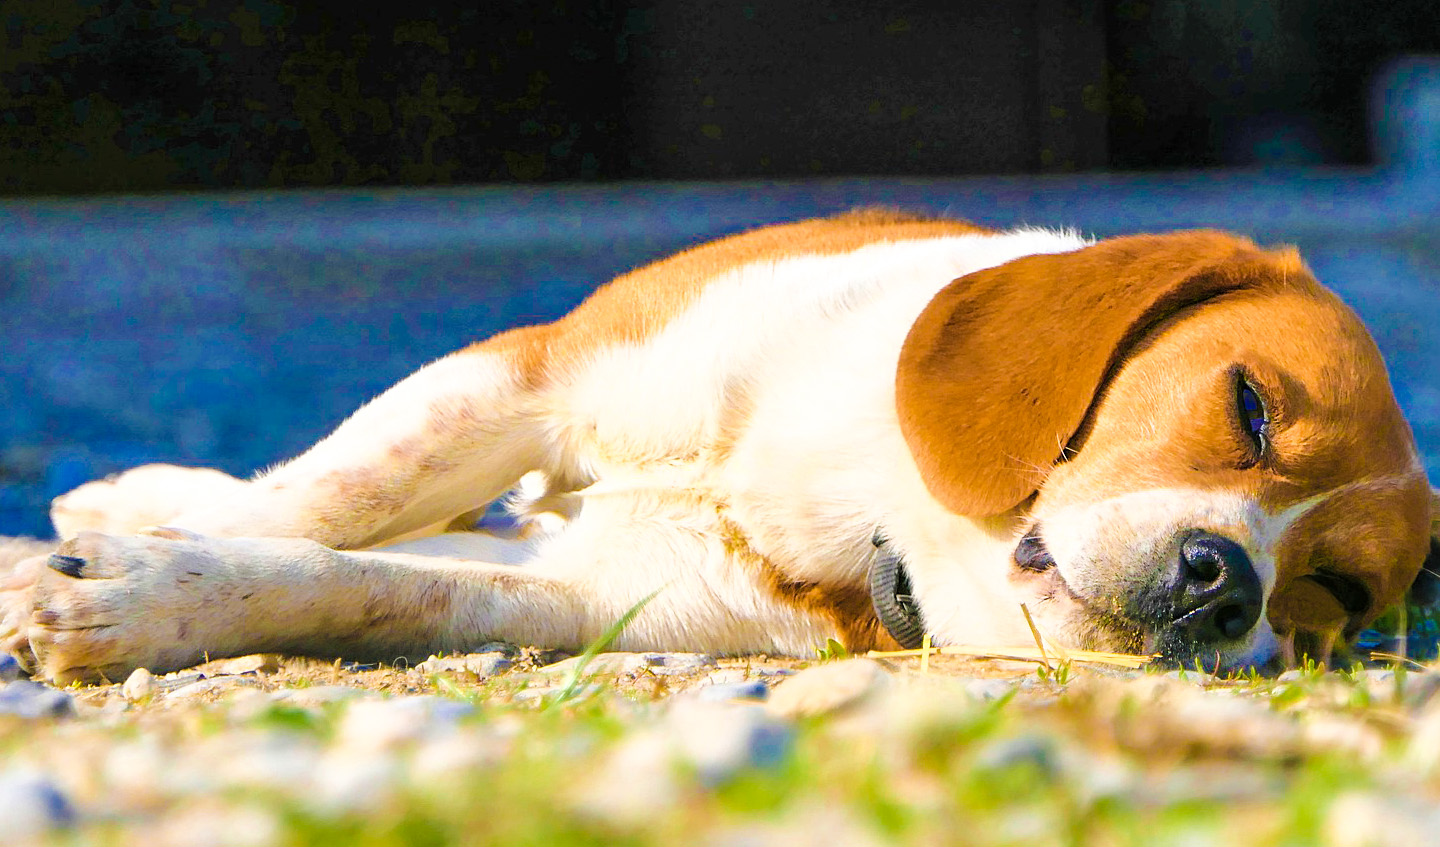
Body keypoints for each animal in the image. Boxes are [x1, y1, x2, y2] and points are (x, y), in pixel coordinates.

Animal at [2, 210, 1440, 682]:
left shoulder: (589, 594)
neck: (865, 499)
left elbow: (360, 578)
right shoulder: (540, 366)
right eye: (1249, 408)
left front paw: (136, 595)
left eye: (1332, 594)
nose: (1227, 585)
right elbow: (326, 503)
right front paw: (129, 561)